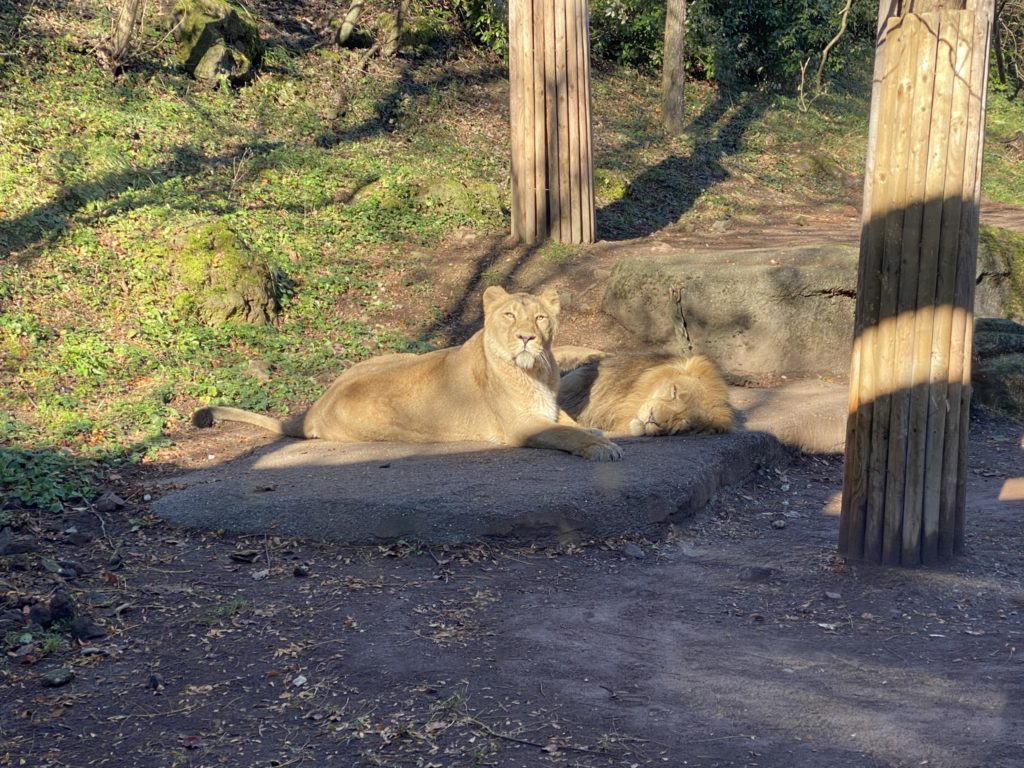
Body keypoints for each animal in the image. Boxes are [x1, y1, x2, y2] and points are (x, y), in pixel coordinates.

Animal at [191, 286, 623, 461]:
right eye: (508, 316)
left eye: (540, 318)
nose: (527, 338)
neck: (537, 371)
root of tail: (314, 408)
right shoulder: (521, 427)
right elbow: (565, 433)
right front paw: (601, 446)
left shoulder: (548, 407)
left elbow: (570, 421)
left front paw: (598, 432)